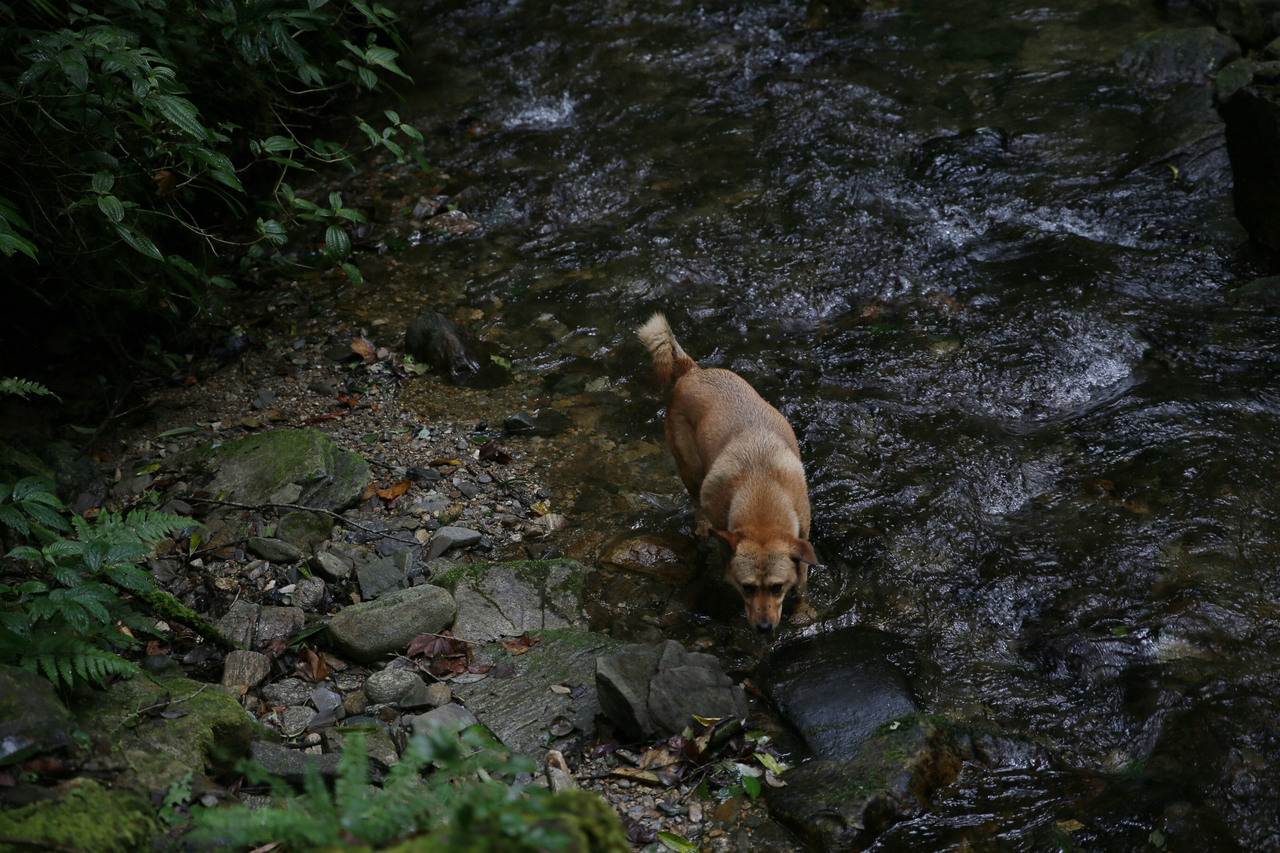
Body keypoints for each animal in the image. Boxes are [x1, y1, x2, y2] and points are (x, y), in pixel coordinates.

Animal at [634, 312, 814, 630]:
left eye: (777, 587)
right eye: (748, 588)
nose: (764, 629)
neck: (762, 493)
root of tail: (692, 371)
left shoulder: (801, 537)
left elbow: (802, 582)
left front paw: (802, 612)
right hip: (690, 467)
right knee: (695, 501)